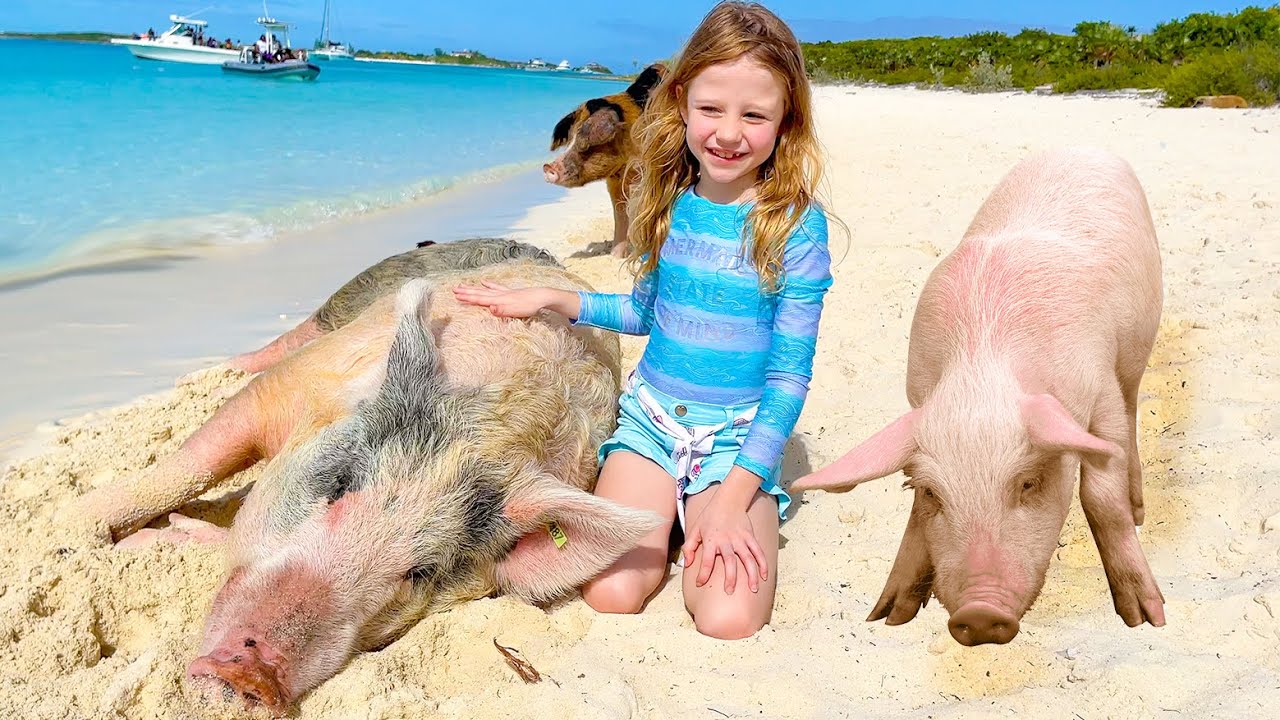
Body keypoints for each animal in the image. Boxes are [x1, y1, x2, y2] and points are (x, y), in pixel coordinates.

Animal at [543, 63, 666, 257]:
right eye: (570, 138)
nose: (548, 167)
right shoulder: (615, 183)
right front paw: (615, 256)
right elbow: (620, 214)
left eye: (585, 141)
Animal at [793, 147, 1165, 646]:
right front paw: (886, 616)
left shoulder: (1099, 385)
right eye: (932, 491)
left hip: (1134, 352)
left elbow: (1102, 498)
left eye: (1028, 483)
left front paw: (1146, 619)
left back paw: (1140, 508)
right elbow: (915, 517)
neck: (980, 371)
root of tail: (1079, 147)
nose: (980, 614)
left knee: (1132, 409)